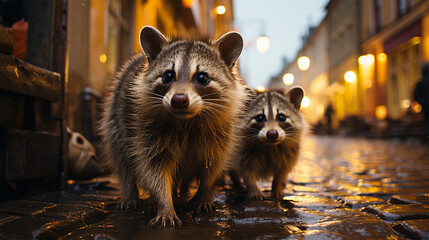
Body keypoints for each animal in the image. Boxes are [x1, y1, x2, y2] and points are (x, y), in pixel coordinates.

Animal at [99, 26, 246, 227]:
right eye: (168, 76)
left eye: (202, 77)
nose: (179, 100)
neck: (187, 121)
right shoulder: (145, 132)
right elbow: (154, 169)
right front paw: (164, 203)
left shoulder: (221, 135)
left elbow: (212, 165)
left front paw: (203, 193)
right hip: (115, 120)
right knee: (123, 159)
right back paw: (132, 194)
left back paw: (181, 193)